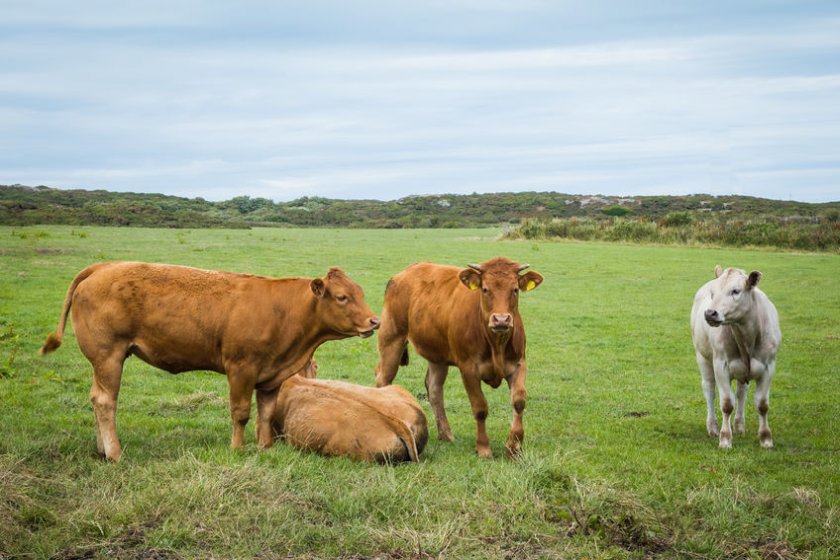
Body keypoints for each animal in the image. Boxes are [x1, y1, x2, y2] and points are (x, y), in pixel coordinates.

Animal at [39, 260, 378, 462]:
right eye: (342, 297)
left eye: (360, 293)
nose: (374, 322)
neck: (285, 311)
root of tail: (102, 266)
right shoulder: (241, 368)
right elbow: (241, 413)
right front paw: (237, 449)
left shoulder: (271, 376)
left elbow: (265, 414)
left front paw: (265, 448)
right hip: (109, 356)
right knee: (105, 401)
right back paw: (115, 453)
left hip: (101, 362)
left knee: (96, 398)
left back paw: (101, 449)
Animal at [374, 258, 544, 460]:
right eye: (485, 289)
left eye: (515, 289)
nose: (501, 320)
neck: (496, 345)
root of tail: (408, 270)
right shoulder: (468, 369)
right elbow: (480, 408)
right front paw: (483, 448)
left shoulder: (518, 364)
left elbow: (518, 402)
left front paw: (513, 447)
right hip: (391, 339)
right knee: (383, 379)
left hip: (437, 356)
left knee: (434, 389)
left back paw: (446, 434)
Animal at [688, 264, 780, 448]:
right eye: (713, 292)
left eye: (735, 291)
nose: (710, 313)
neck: (746, 338)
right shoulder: (720, 365)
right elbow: (726, 404)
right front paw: (725, 439)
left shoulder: (769, 366)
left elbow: (762, 404)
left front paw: (766, 439)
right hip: (702, 357)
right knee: (709, 389)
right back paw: (713, 427)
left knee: (741, 392)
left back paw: (739, 425)